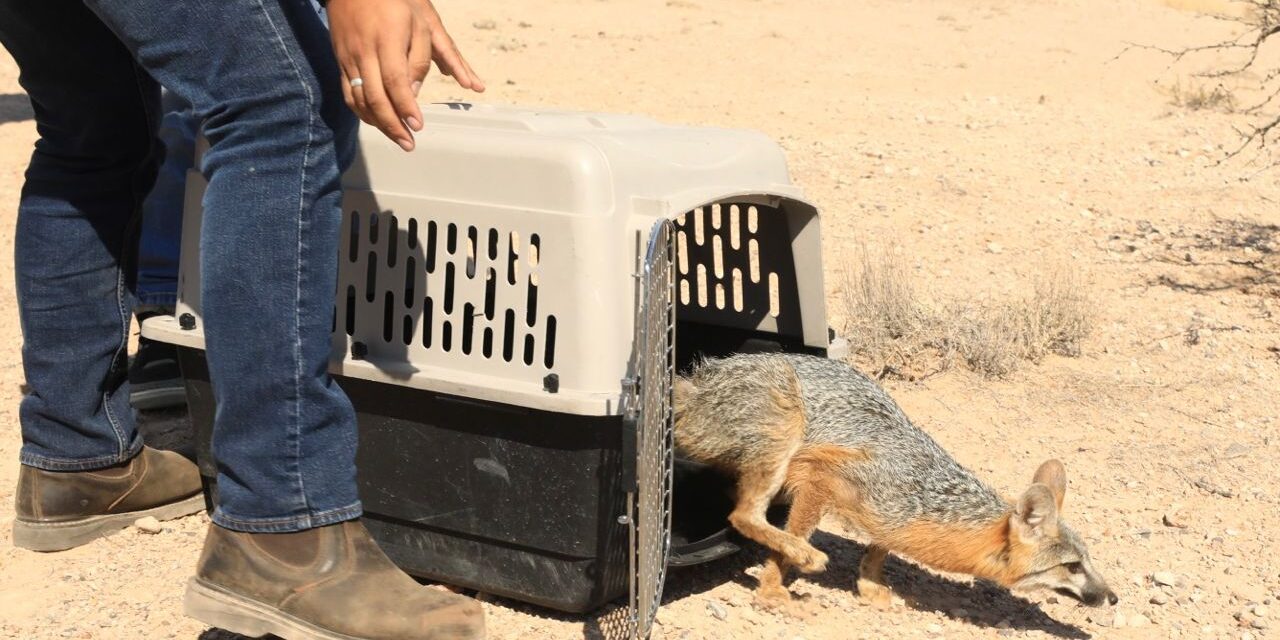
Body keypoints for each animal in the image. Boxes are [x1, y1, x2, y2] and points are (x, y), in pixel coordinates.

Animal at [675, 353, 1116, 606]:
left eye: (1089, 561)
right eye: (1072, 567)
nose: (1113, 597)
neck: (925, 495)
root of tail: (697, 381)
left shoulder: (890, 517)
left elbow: (880, 548)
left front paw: (869, 586)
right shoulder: (823, 478)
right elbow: (787, 542)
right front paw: (771, 591)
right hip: (784, 432)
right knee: (743, 515)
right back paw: (805, 555)